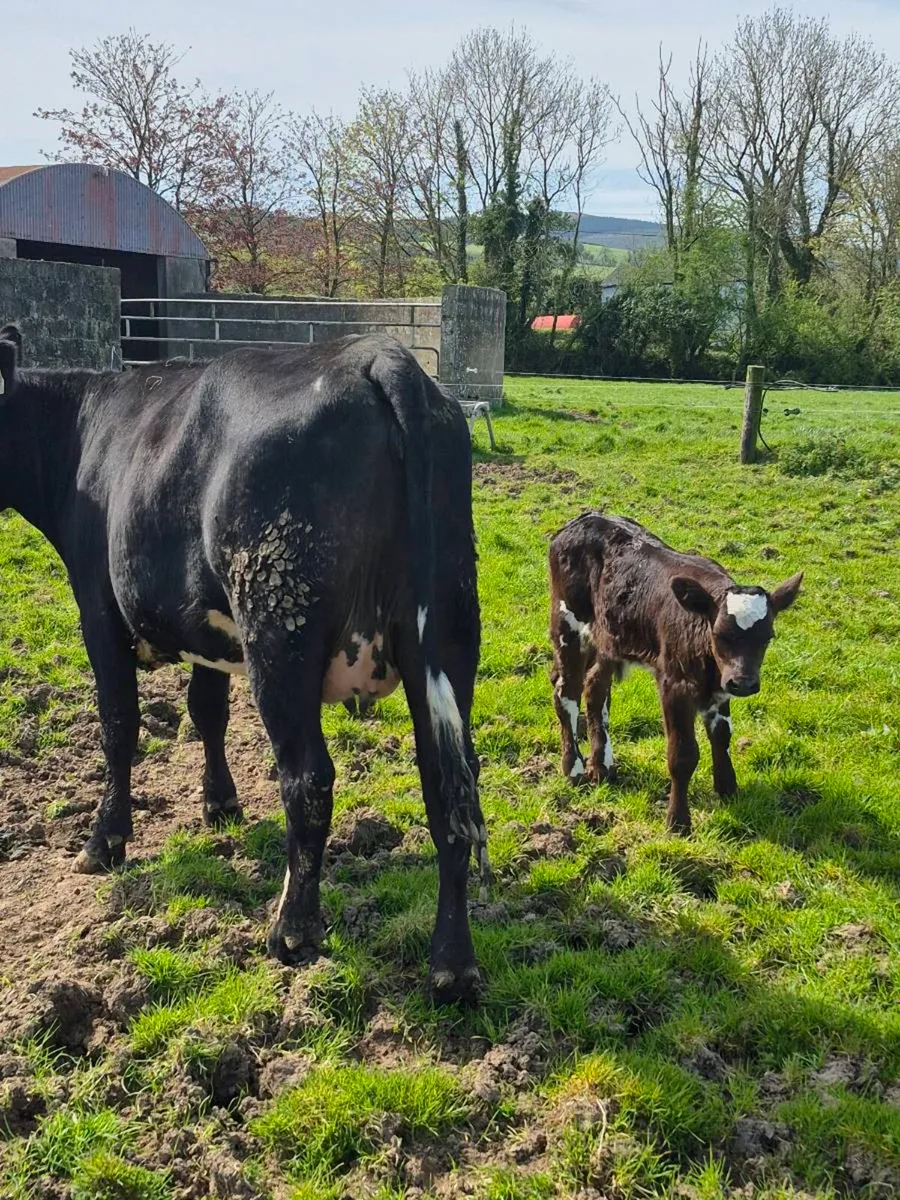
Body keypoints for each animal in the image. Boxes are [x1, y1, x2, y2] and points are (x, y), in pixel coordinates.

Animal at [0, 324, 489, 1002]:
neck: (81, 433)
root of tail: (377, 356)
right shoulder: (205, 629)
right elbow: (206, 710)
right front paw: (221, 805)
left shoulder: (98, 610)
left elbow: (119, 725)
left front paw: (104, 841)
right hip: (447, 636)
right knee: (448, 787)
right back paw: (452, 963)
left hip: (278, 635)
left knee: (308, 777)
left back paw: (292, 931)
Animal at [549, 512, 803, 834]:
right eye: (720, 634)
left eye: (768, 636)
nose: (744, 683)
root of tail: (585, 518)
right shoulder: (674, 685)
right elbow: (682, 755)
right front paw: (678, 821)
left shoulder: (720, 688)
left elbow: (722, 736)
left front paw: (728, 790)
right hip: (567, 625)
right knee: (566, 694)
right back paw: (575, 769)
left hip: (607, 638)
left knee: (595, 688)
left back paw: (603, 766)